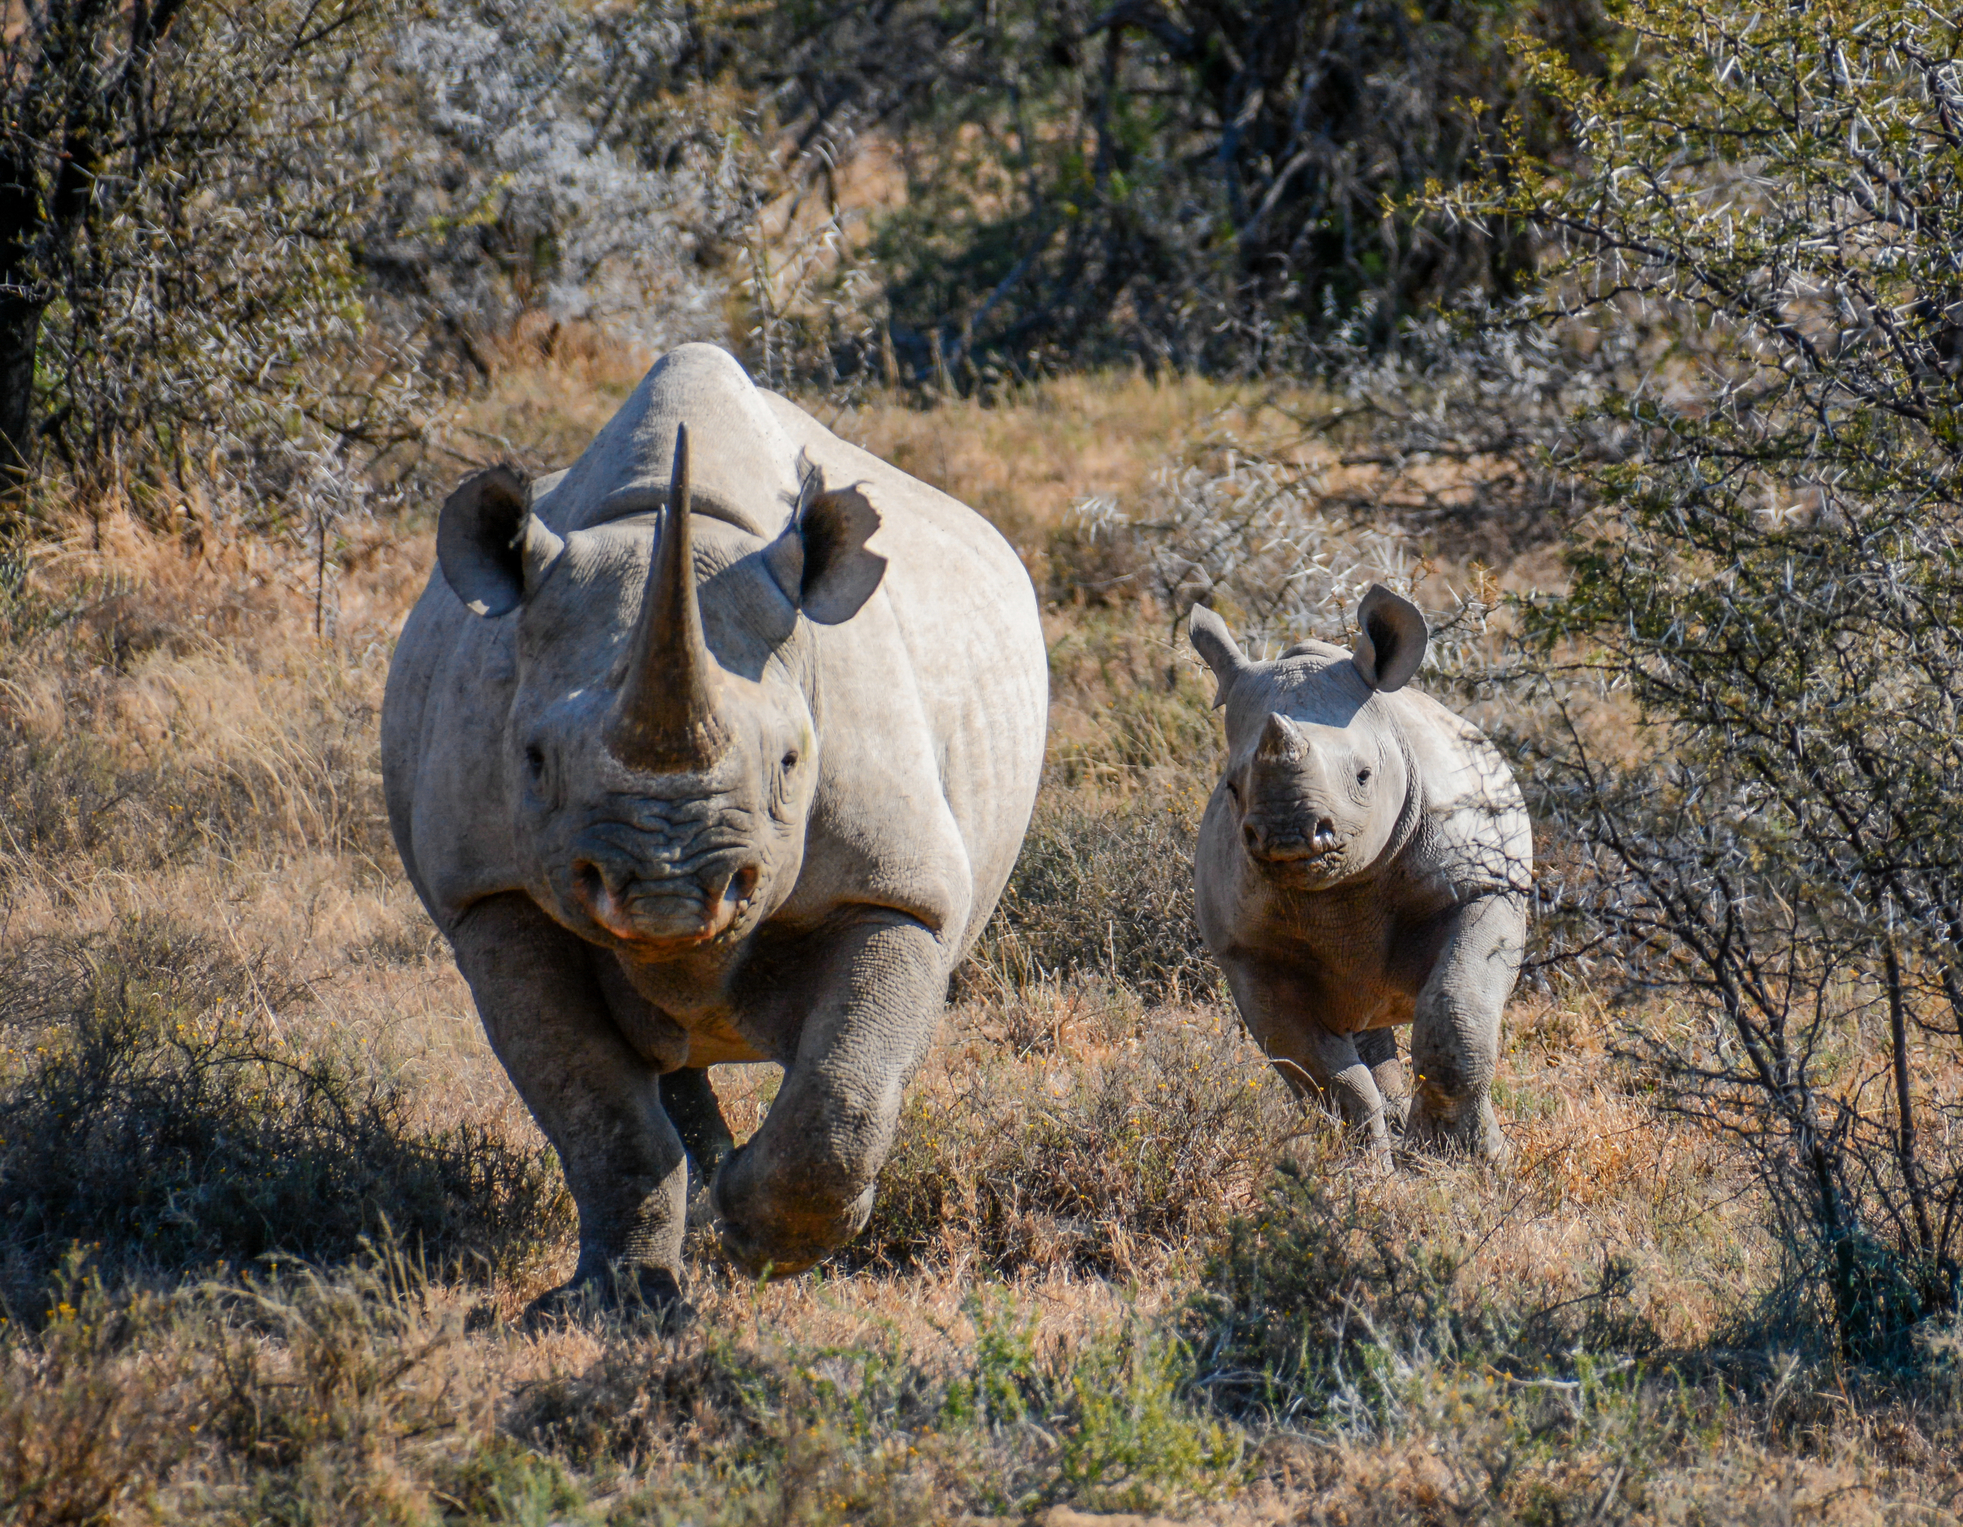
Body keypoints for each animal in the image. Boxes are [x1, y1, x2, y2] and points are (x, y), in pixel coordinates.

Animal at [386, 345, 1060, 1311]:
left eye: (789, 764)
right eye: (534, 761)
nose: (665, 895)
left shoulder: (901, 887)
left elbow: (847, 1086)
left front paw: (761, 1241)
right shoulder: (489, 893)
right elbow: (592, 1103)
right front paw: (619, 1302)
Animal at [1185, 588, 1523, 1161]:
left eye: (1365, 776)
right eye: (1231, 787)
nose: (1288, 835)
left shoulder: (1484, 887)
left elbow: (1458, 1014)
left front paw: (1462, 1159)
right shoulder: (1249, 950)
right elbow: (1325, 1076)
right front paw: (1362, 1170)